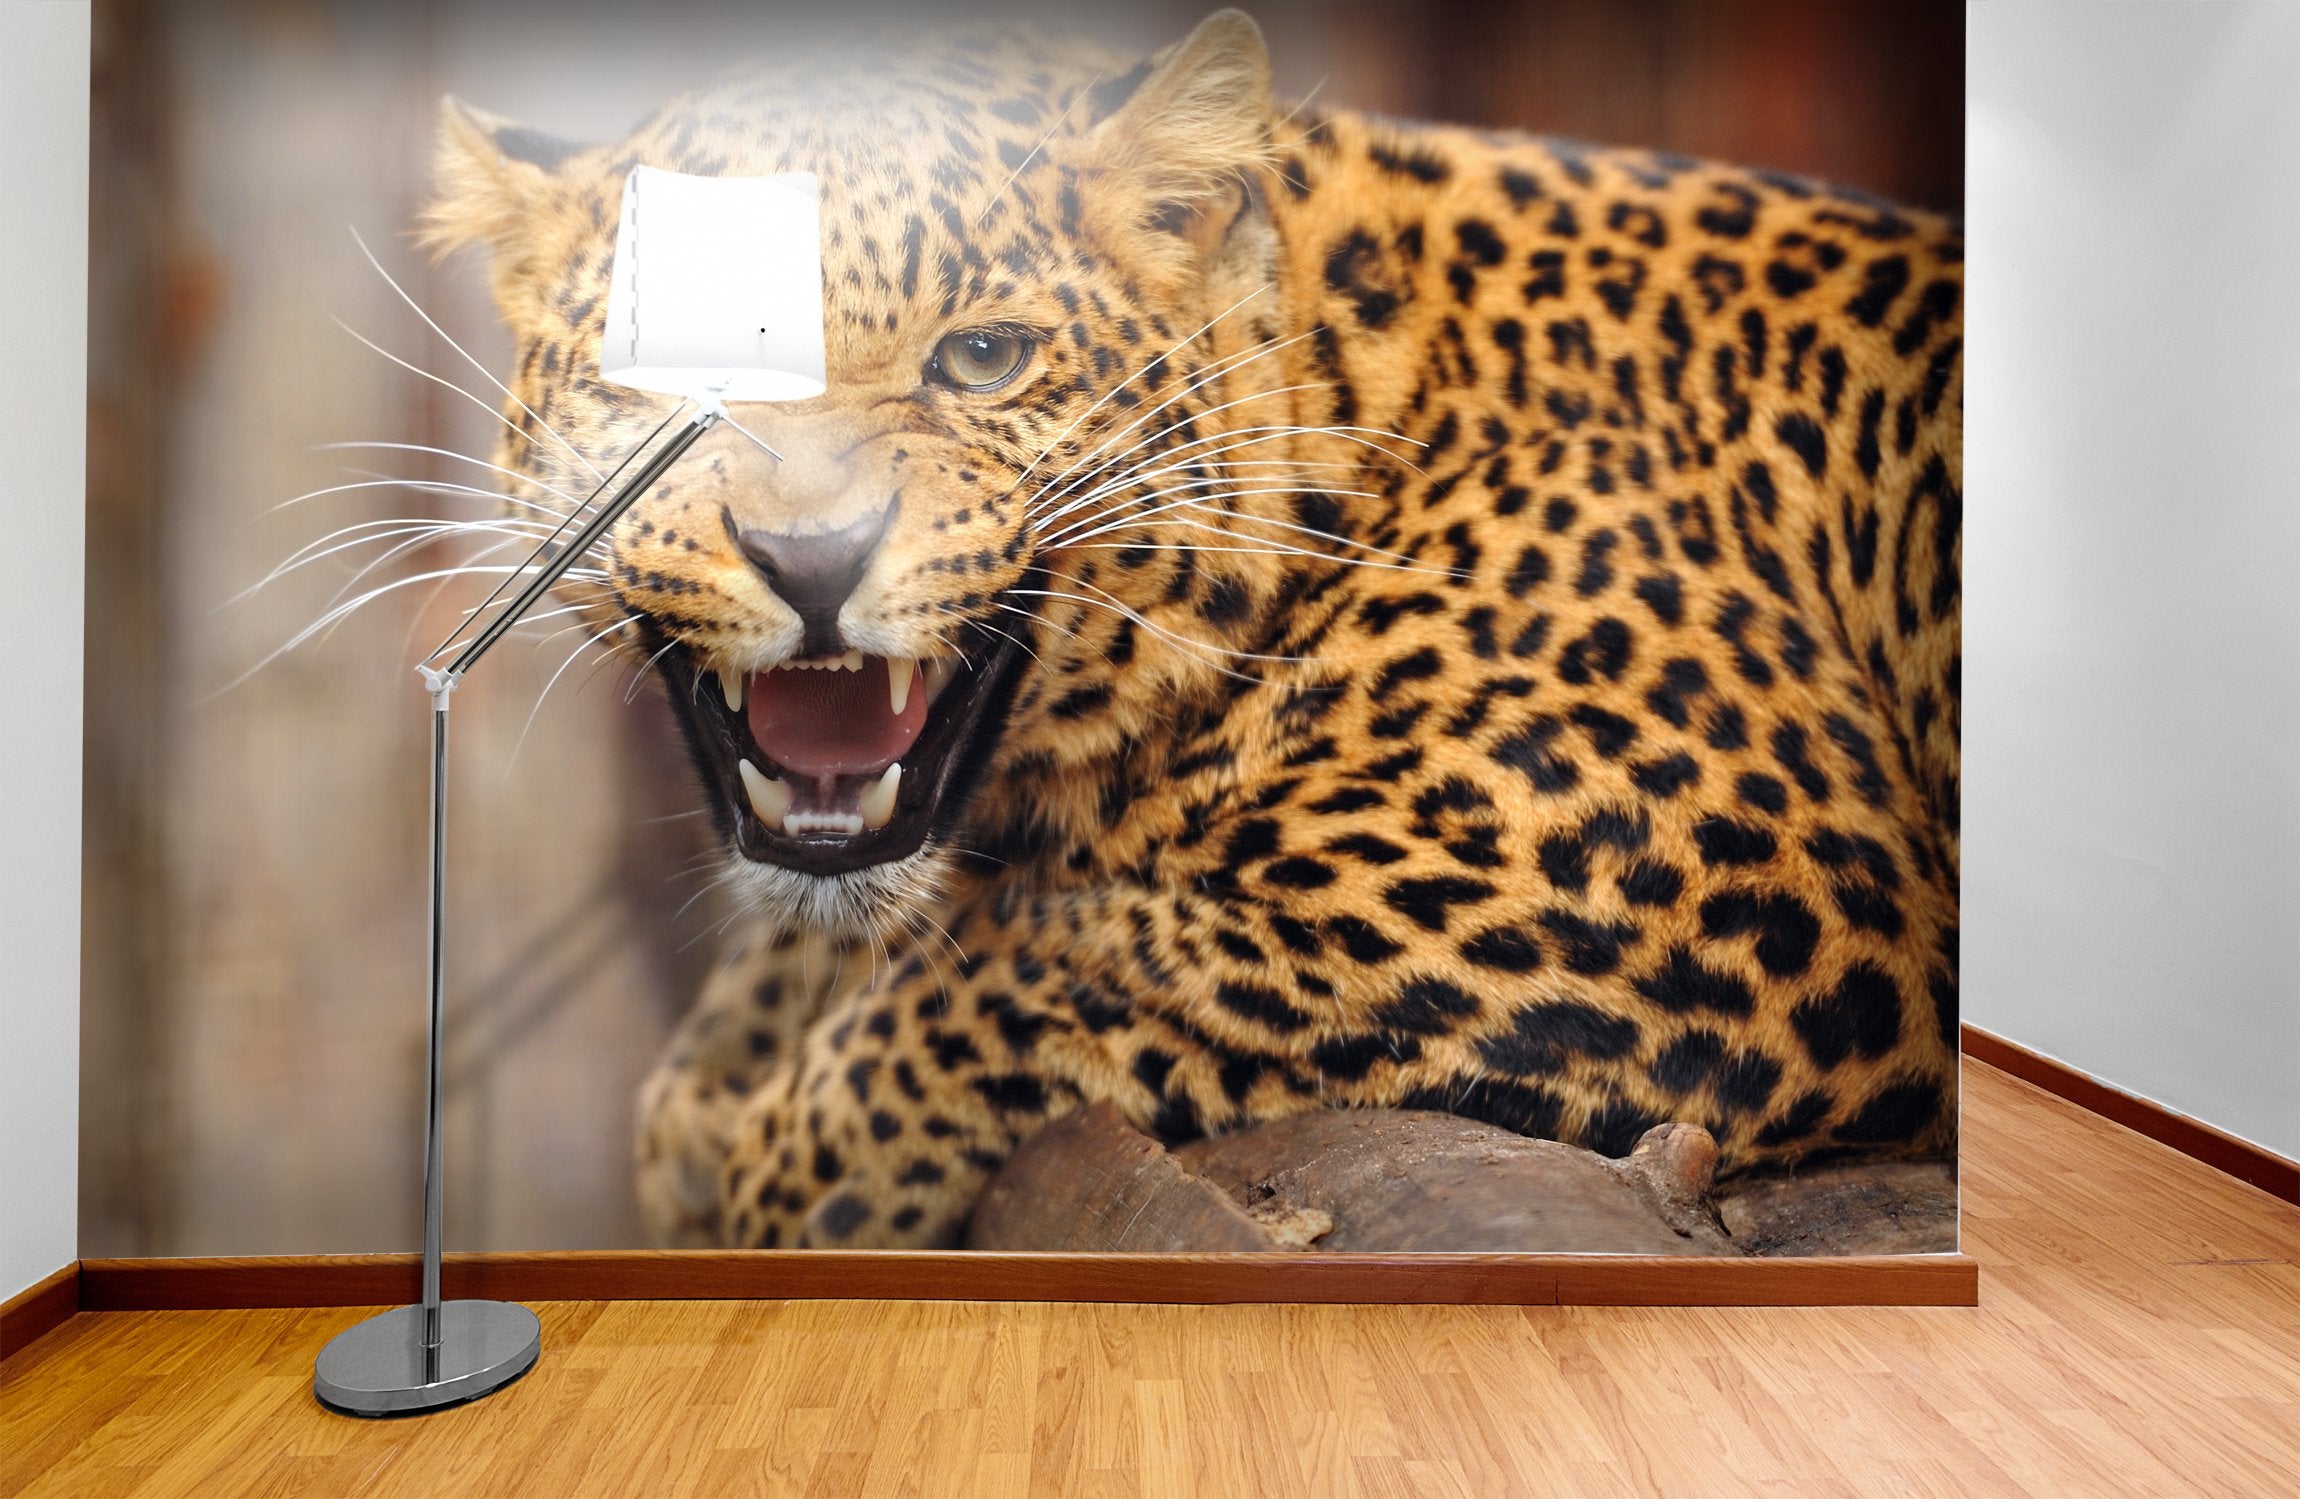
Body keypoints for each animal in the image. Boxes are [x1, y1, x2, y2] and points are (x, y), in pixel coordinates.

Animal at [419, 9, 1962, 1249]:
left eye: (982, 358)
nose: (812, 556)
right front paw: (709, 1096)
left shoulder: (1704, 876)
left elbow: (1071, 947)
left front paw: (794, 1166)